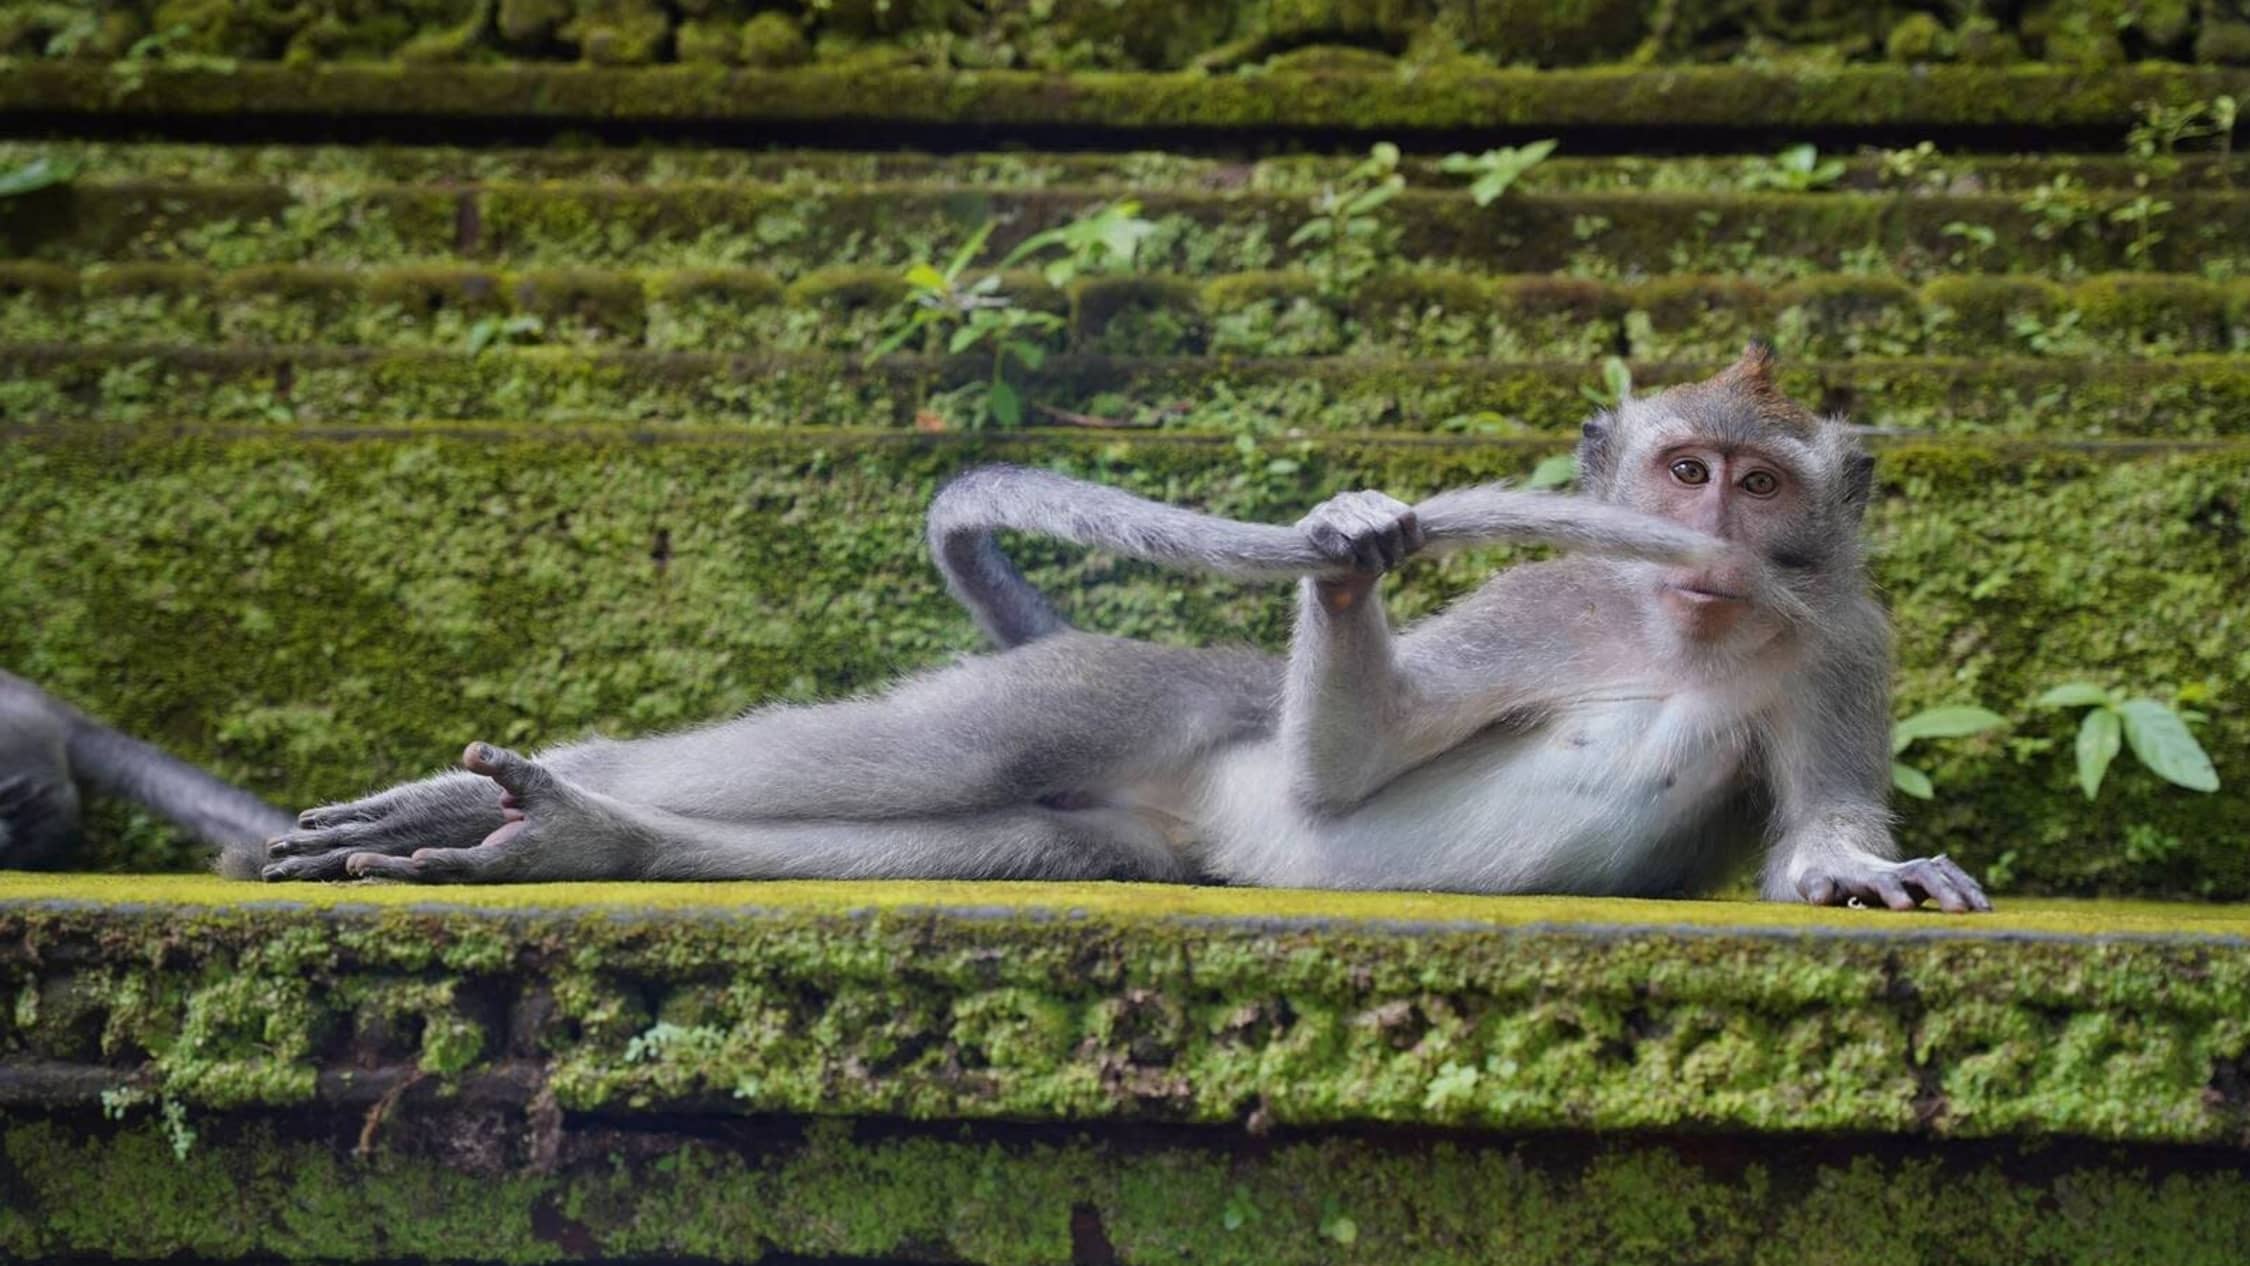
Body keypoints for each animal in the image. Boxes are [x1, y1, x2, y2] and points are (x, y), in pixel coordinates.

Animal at [0, 348, 1989, 912]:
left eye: (1757, 477)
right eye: (1681, 468)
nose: (1711, 537)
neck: (1685, 628)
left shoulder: (1844, 640)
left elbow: (1819, 814)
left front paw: (1852, 866)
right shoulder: (1545, 601)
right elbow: (1346, 779)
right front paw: (1352, 546)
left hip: (1120, 827)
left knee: (986, 827)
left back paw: (580, 836)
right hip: (1111, 688)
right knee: (930, 748)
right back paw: (507, 796)